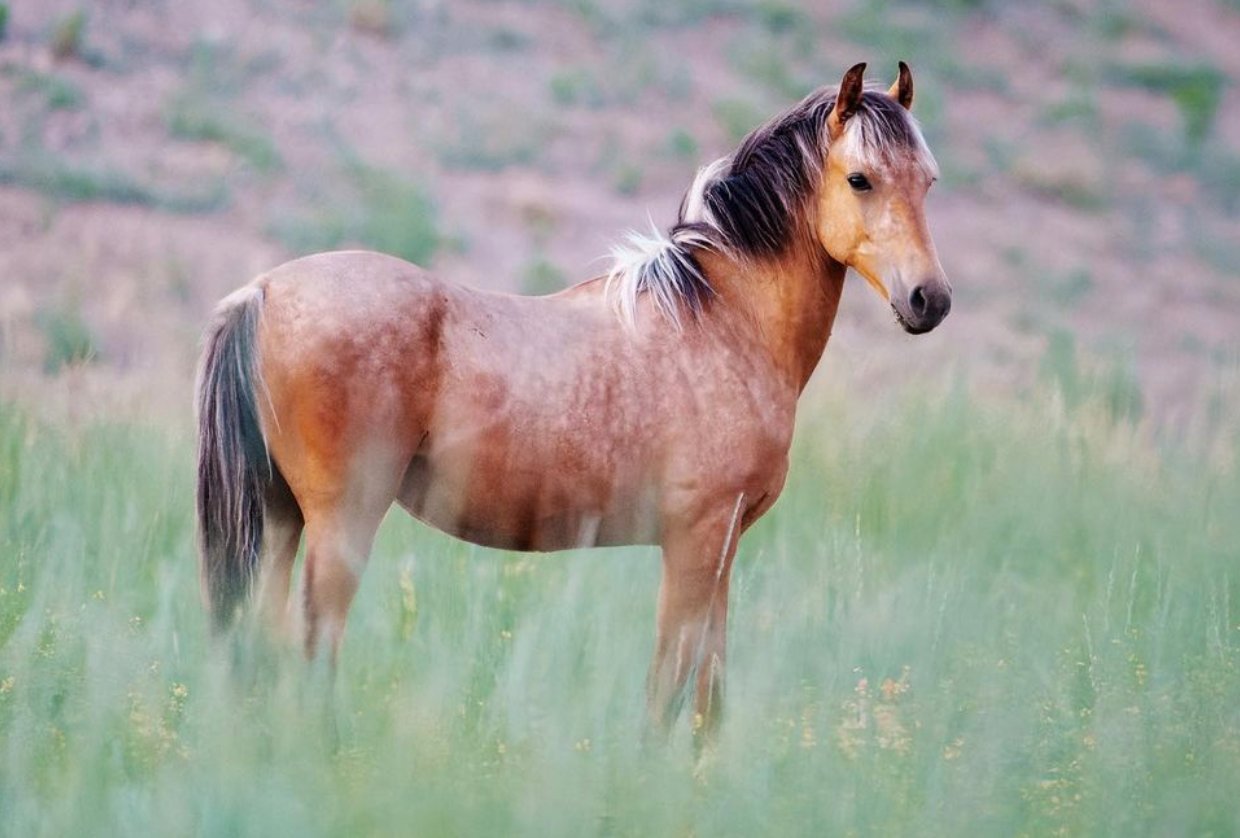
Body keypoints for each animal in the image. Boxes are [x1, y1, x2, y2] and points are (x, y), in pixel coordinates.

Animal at [195, 61, 951, 737]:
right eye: (860, 178)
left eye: (929, 181)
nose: (930, 301)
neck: (720, 320)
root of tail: (261, 292)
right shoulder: (696, 542)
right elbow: (667, 690)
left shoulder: (725, 550)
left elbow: (707, 699)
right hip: (340, 523)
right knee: (312, 649)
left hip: (283, 520)